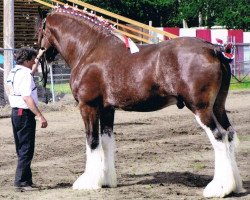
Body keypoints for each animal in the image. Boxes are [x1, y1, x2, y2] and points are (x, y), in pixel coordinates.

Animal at [37, 6, 242, 198]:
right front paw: (106, 180)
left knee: (219, 137)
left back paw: (218, 188)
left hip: (201, 108)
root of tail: (213, 49)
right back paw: (234, 186)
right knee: (230, 134)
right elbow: (106, 141)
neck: (89, 49)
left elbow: (92, 141)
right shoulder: (107, 109)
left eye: (39, 29)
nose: (39, 54)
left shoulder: (88, 106)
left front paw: (89, 182)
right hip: (218, 107)